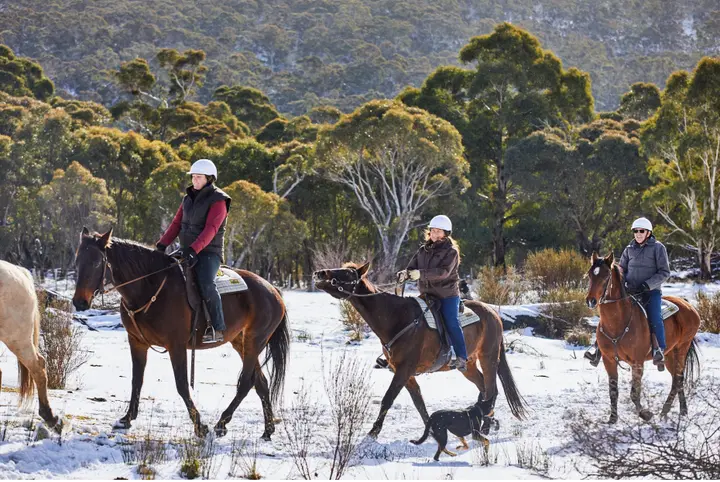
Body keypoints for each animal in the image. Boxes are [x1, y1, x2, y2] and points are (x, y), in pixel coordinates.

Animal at [71, 228, 290, 438]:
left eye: (97, 263)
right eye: (77, 261)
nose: (79, 302)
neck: (150, 287)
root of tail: (273, 290)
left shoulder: (176, 346)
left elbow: (182, 385)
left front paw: (200, 426)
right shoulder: (136, 342)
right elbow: (136, 380)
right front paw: (126, 419)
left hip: (254, 341)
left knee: (246, 382)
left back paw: (221, 423)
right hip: (240, 342)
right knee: (261, 382)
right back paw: (267, 430)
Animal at [312, 264, 524, 440]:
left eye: (347, 273)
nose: (319, 273)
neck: (397, 318)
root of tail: (493, 313)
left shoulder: (404, 370)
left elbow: (388, 399)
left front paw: (373, 432)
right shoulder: (405, 373)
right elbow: (418, 402)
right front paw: (431, 431)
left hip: (488, 357)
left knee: (492, 390)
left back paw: (486, 427)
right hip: (468, 365)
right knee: (483, 388)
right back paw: (486, 421)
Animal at [584, 250, 696, 424]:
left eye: (605, 275)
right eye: (590, 274)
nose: (591, 300)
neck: (617, 322)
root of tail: (687, 304)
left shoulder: (637, 362)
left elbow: (634, 393)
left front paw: (645, 414)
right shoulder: (609, 361)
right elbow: (613, 391)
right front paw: (612, 419)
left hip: (682, 348)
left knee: (678, 379)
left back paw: (671, 411)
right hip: (670, 354)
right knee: (676, 380)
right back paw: (674, 411)